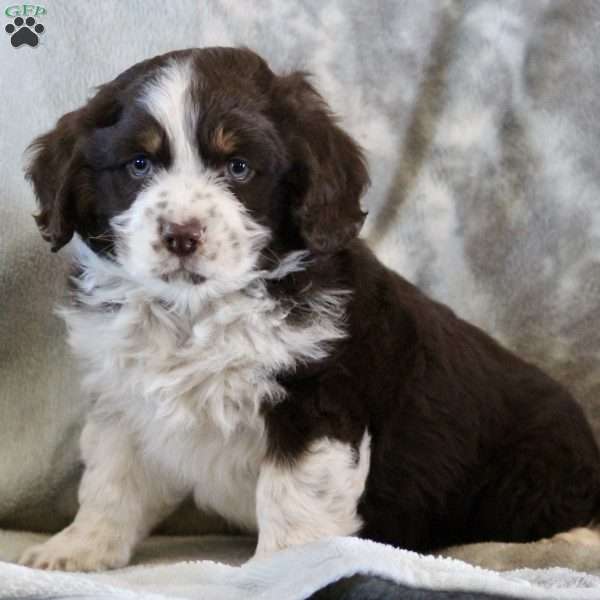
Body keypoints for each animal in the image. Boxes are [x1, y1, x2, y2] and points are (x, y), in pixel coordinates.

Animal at [18, 47, 600, 572]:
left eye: (239, 166)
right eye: (138, 164)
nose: (181, 235)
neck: (197, 310)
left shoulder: (315, 398)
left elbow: (293, 494)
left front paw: (286, 567)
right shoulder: (124, 397)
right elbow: (111, 481)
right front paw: (78, 549)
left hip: (531, 474)